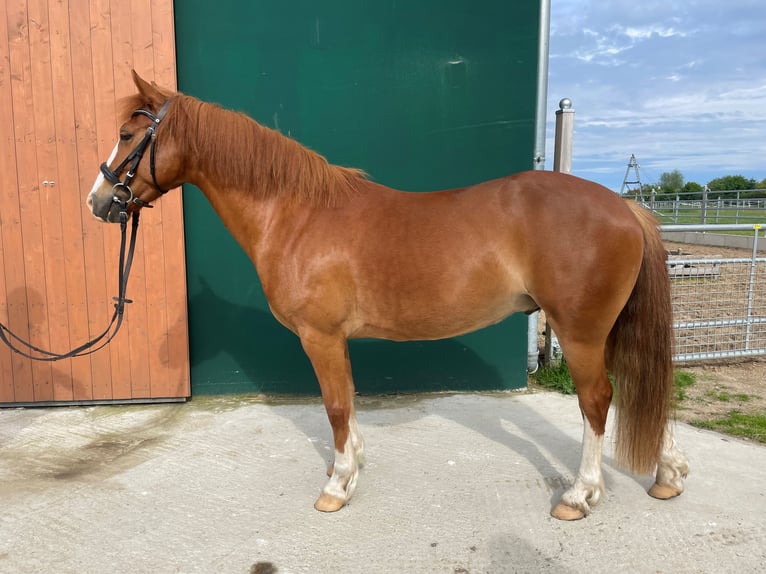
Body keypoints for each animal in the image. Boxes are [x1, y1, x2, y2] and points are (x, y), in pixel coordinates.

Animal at [88, 72, 688, 520]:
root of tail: (623, 205)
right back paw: (668, 475)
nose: (97, 202)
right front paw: (349, 468)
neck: (296, 214)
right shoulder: (336, 340)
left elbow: (334, 406)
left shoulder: (320, 337)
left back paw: (580, 495)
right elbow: (349, 403)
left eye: (126, 134)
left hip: (580, 331)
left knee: (598, 400)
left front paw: (336, 489)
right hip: (606, 329)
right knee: (637, 385)